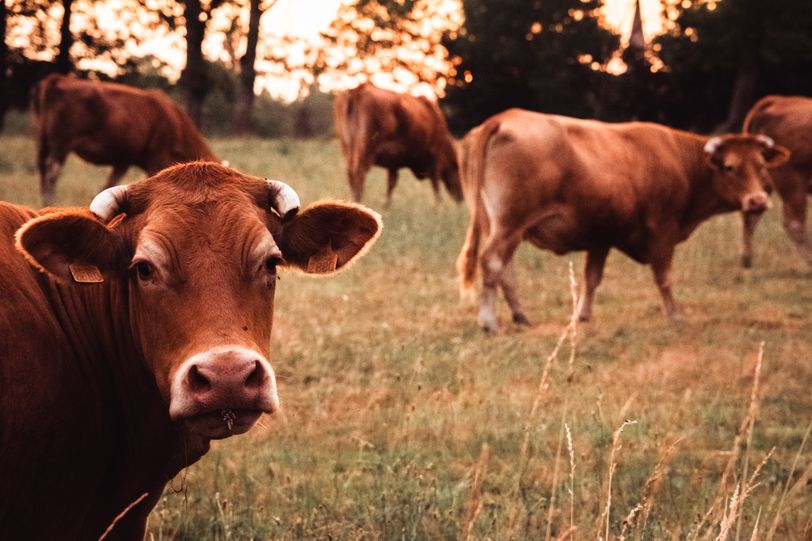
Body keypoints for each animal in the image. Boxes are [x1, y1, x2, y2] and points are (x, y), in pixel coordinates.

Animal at [34, 73, 218, 206]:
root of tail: (59, 78)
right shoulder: (157, 157)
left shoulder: (123, 160)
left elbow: (109, 185)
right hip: (61, 146)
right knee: (51, 173)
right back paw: (50, 202)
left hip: (44, 143)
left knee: (43, 170)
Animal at [333, 82, 463, 208]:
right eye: (458, 169)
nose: (461, 197)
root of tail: (359, 89)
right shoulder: (434, 156)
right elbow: (435, 183)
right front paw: (439, 205)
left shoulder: (393, 163)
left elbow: (391, 184)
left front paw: (387, 205)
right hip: (365, 150)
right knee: (358, 174)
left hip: (347, 148)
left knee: (351, 173)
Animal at [456, 109, 789, 331]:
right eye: (730, 167)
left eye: (761, 165)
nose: (757, 201)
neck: (680, 161)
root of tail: (504, 117)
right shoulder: (662, 230)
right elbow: (664, 276)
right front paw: (674, 314)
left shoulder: (600, 237)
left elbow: (592, 278)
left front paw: (582, 316)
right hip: (510, 225)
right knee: (492, 262)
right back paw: (488, 321)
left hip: (505, 228)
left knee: (505, 270)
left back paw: (521, 316)